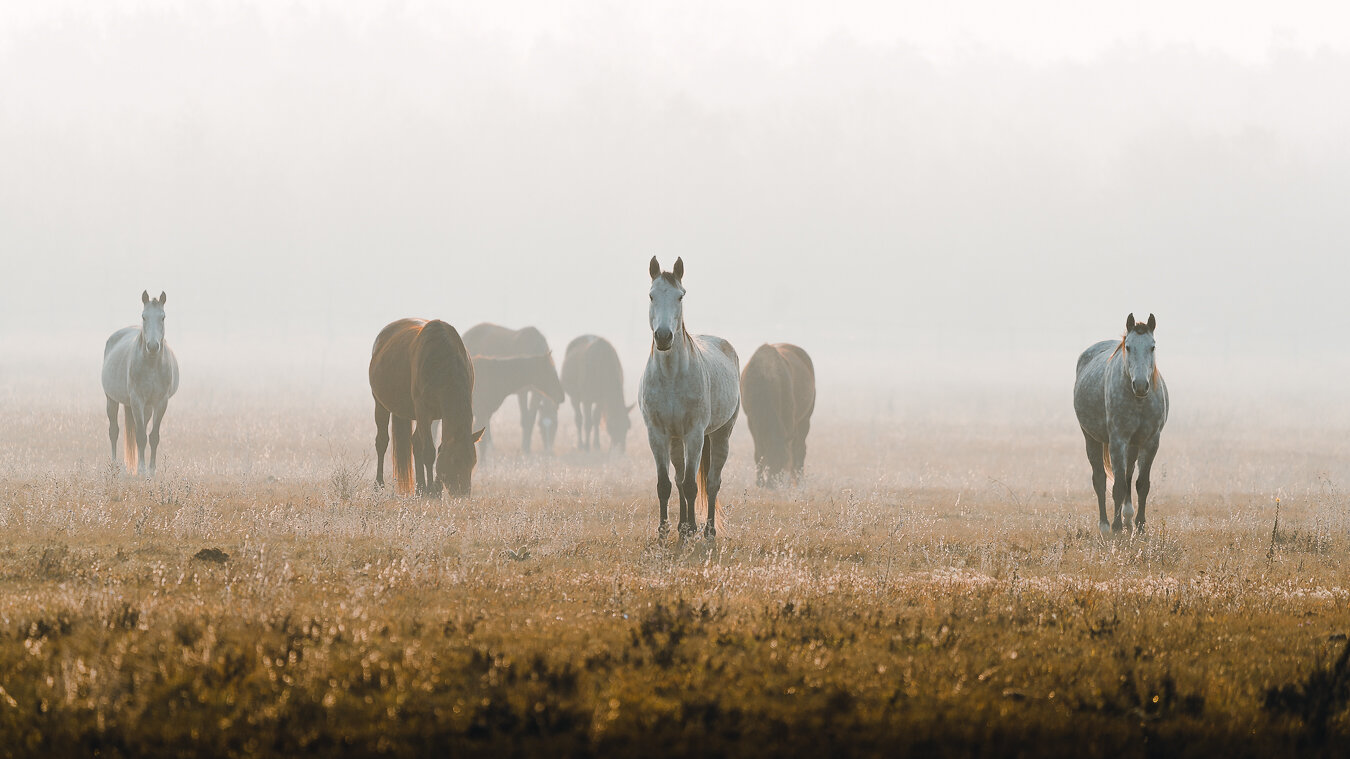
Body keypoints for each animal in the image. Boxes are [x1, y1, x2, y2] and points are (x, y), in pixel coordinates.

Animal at [369, 317, 486, 496]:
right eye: (455, 460)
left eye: (473, 461)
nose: (463, 494)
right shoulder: (423, 410)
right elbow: (430, 452)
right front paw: (432, 490)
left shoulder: (439, 414)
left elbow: (438, 447)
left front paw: (434, 489)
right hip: (381, 404)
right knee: (382, 442)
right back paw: (379, 485)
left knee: (416, 442)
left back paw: (420, 488)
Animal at [461, 321, 561, 451]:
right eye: (541, 428)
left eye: (555, 425)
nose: (549, 451)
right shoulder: (522, 392)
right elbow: (525, 419)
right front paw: (525, 448)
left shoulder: (536, 392)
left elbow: (531, 417)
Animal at [639, 255, 745, 537]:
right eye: (651, 295)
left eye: (680, 296)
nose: (664, 337)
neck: (671, 377)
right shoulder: (657, 434)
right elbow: (665, 484)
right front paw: (664, 530)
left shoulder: (695, 434)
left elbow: (691, 485)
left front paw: (693, 529)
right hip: (676, 440)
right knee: (678, 478)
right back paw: (683, 525)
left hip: (720, 434)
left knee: (712, 482)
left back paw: (708, 530)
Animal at [739, 341, 810, 483]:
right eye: (768, 460)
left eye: (784, 462)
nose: (772, 484)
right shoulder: (751, 419)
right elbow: (758, 452)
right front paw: (759, 481)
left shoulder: (789, 418)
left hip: (805, 420)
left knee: (800, 449)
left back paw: (799, 481)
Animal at [1074, 310, 1171, 534]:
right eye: (1129, 347)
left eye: (1152, 346)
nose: (1141, 385)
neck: (1138, 401)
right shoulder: (1118, 440)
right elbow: (1117, 486)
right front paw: (1116, 527)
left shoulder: (1151, 441)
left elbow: (1141, 484)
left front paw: (1140, 526)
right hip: (1091, 437)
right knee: (1100, 480)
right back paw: (1105, 526)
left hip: (1133, 445)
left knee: (1128, 475)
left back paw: (1128, 517)